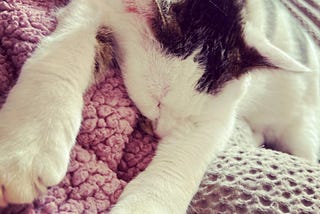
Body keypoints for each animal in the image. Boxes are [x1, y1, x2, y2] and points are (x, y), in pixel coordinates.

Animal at [0, 0, 320, 213]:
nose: (164, 131)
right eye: (157, 102)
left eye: (191, 117)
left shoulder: (219, 115)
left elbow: (185, 156)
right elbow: (64, 52)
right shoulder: (91, 9)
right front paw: (29, 147)